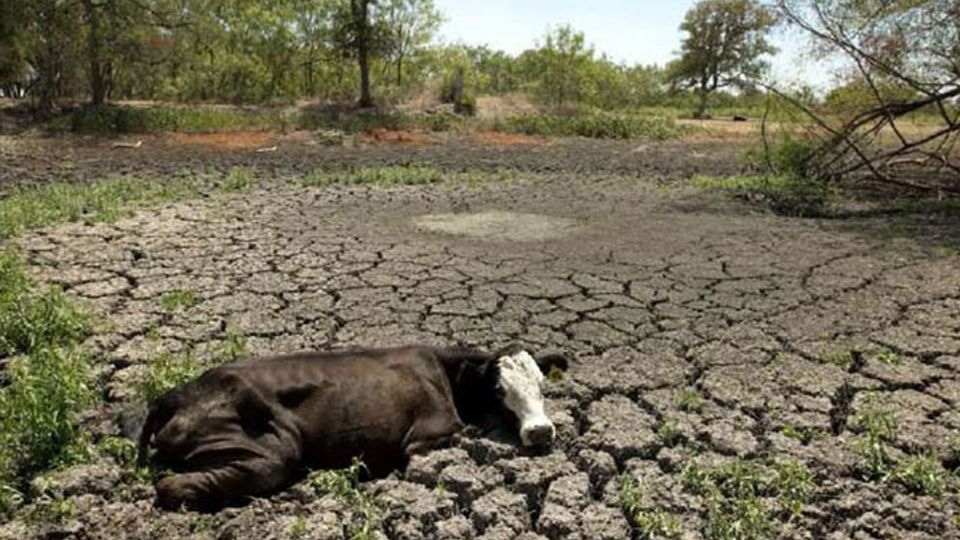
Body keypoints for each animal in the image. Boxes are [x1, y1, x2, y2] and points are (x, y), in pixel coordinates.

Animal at [138, 344, 568, 508]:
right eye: (499, 389)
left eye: (542, 385)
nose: (541, 431)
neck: (445, 372)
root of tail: (174, 395)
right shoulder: (424, 436)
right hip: (270, 450)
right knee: (171, 485)